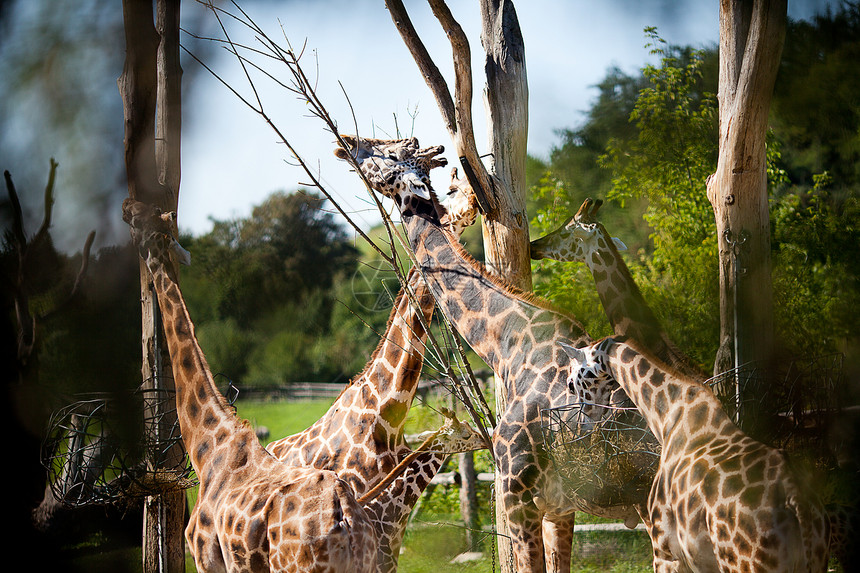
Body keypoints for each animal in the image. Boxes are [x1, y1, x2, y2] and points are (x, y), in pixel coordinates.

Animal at [122, 198, 378, 572]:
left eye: (138, 224)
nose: (126, 205)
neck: (207, 446)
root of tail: (347, 521)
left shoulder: (208, 559)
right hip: (375, 560)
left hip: (295, 566)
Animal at [560, 336, 828, 572]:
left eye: (571, 382)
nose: (584, 421)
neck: (667, 417)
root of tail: (796, 501)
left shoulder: (665, 550)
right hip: (812, 559)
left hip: (748, 564)